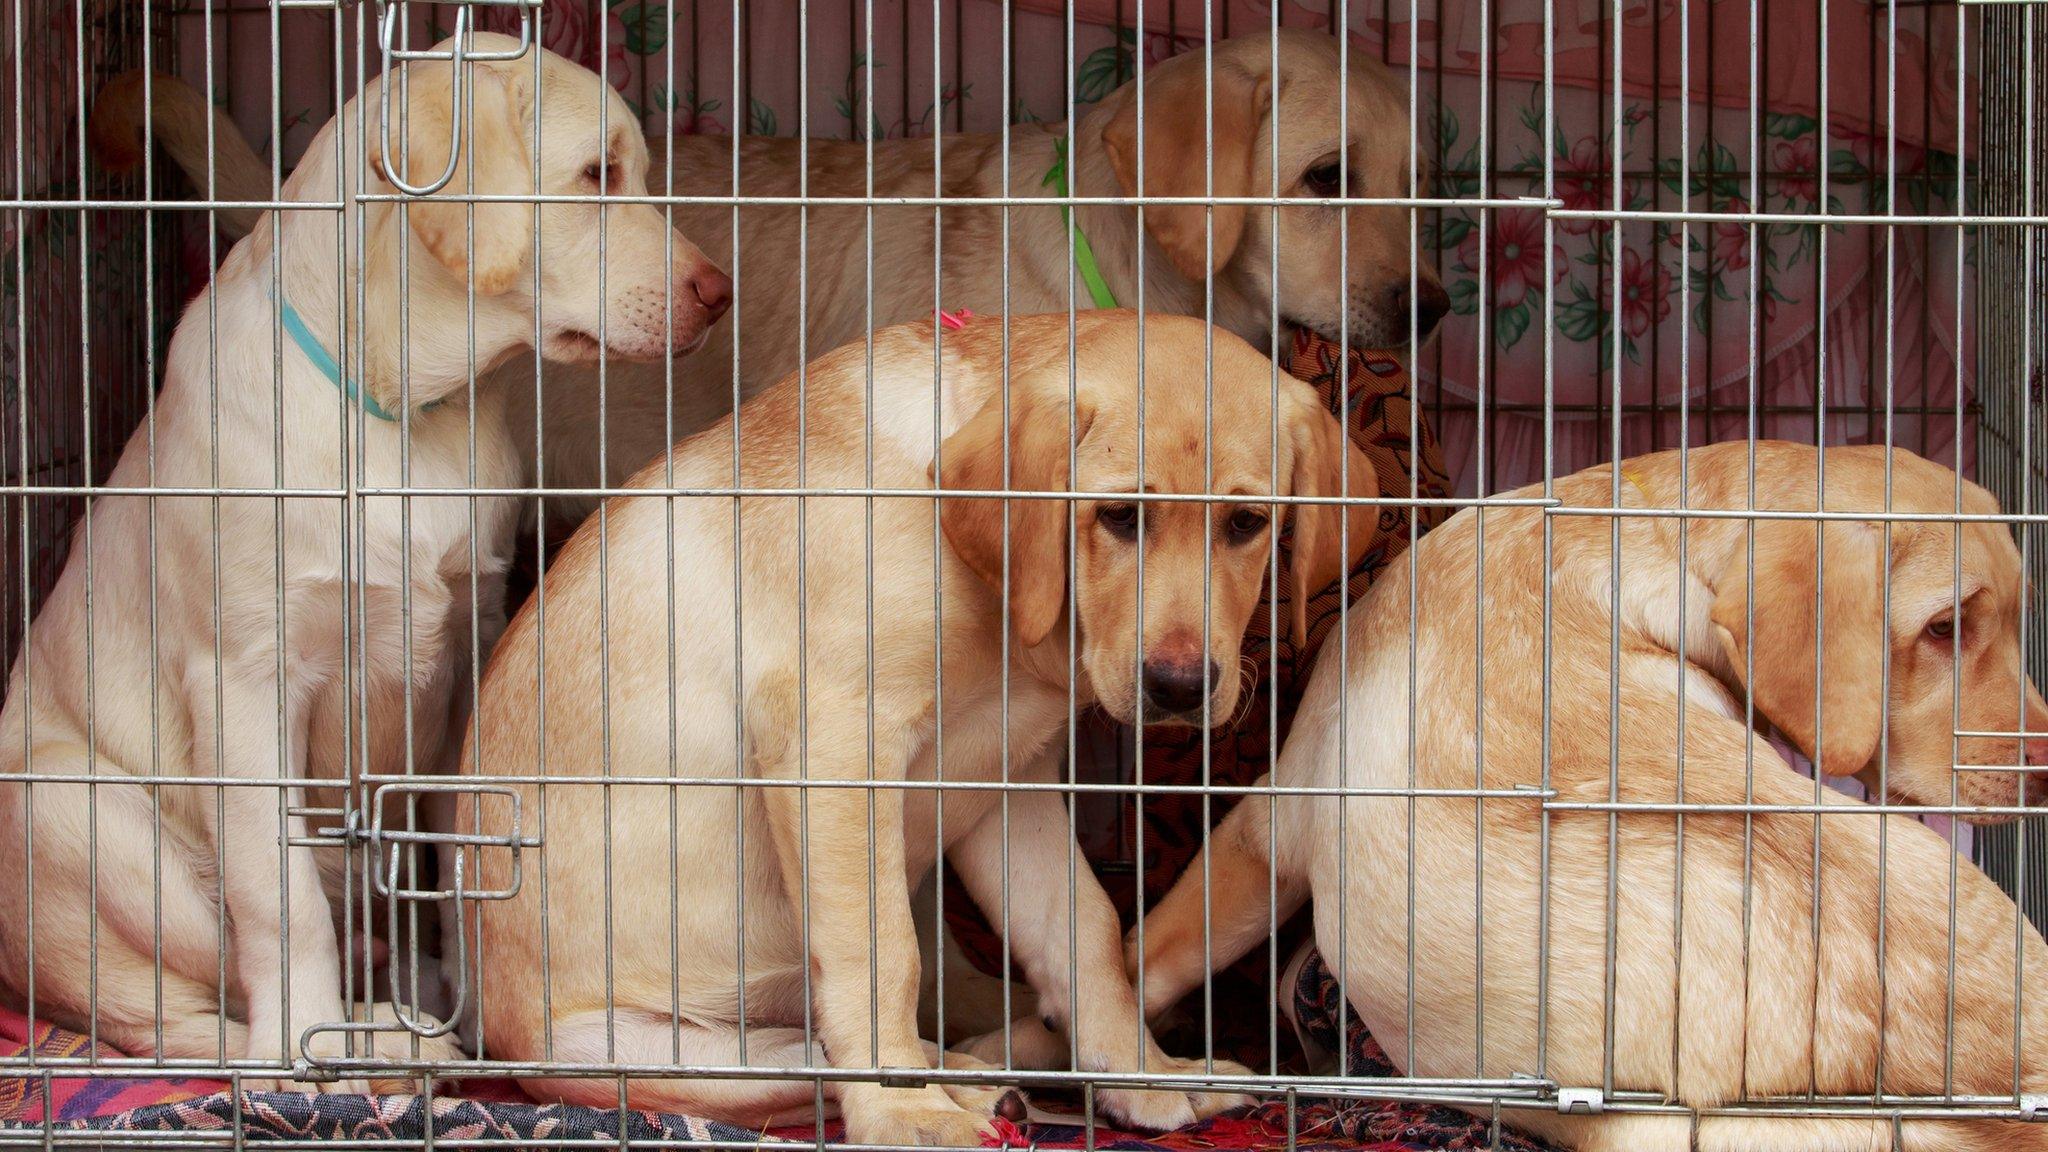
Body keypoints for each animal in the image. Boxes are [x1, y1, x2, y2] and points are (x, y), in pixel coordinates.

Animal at [2, 35, 729, 1090]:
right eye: (599, 174)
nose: (718, 295)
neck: (402, 415)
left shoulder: (467, 639)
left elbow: (454, 842)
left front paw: (468, 986)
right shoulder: (246, 678)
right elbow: (280, 897)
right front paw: (307, 1048)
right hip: (72, 810)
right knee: (172, 1018)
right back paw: (350, 1045)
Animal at [1138, 440, 2048, 1147]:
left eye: (2013, 619)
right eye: (1945, 627)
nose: (2045, 768)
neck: (1642, 532)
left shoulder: (1274, 813)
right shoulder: (1275, 817)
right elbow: (1151, 955)